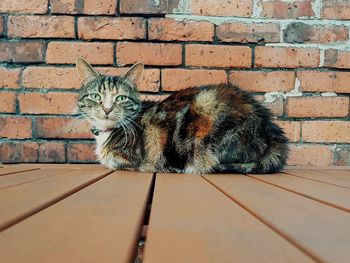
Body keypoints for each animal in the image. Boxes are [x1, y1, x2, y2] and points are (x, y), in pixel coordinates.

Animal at [76, 56, 288, 174]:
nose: (107, 109)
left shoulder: (129, 159)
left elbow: (113, 162)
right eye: (96, 96)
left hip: (206, 106)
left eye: (120, 98)